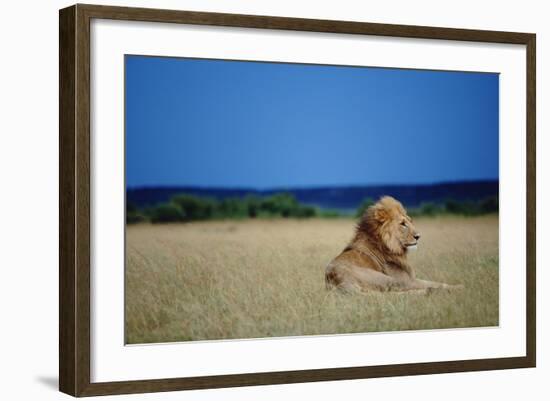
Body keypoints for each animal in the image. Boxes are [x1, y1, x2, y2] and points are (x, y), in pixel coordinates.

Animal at [326, 195, 464, 292]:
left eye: (410, 221)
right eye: (403, 224)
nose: (418, 236)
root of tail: (334, 277)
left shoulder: (411, 278)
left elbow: (435, 281)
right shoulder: (407, 281)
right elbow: (434, 284)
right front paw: (460, 286)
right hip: (388, 280)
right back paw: (431, 292)